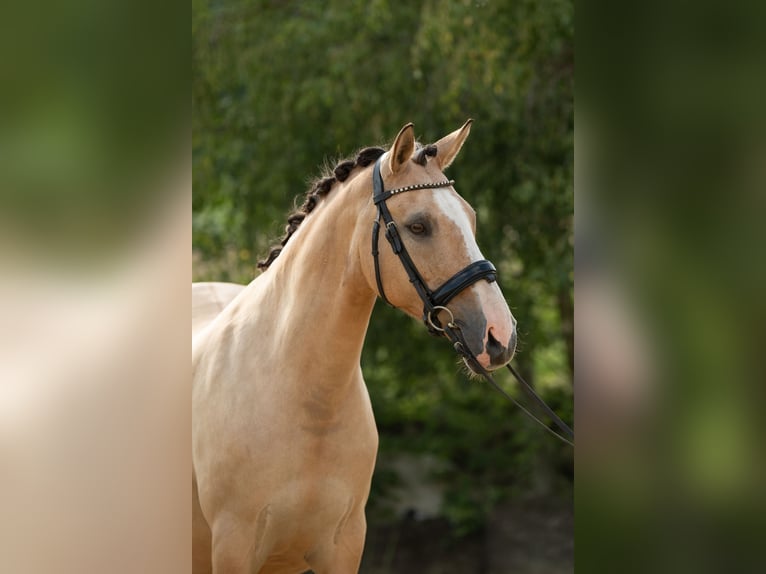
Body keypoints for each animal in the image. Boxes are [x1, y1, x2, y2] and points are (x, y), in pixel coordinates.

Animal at [192, 121, 517, 573]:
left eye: (470, 217)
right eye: (418, 226)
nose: (499, 335)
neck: (306, 401)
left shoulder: (344, 546)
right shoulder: (234, 548)